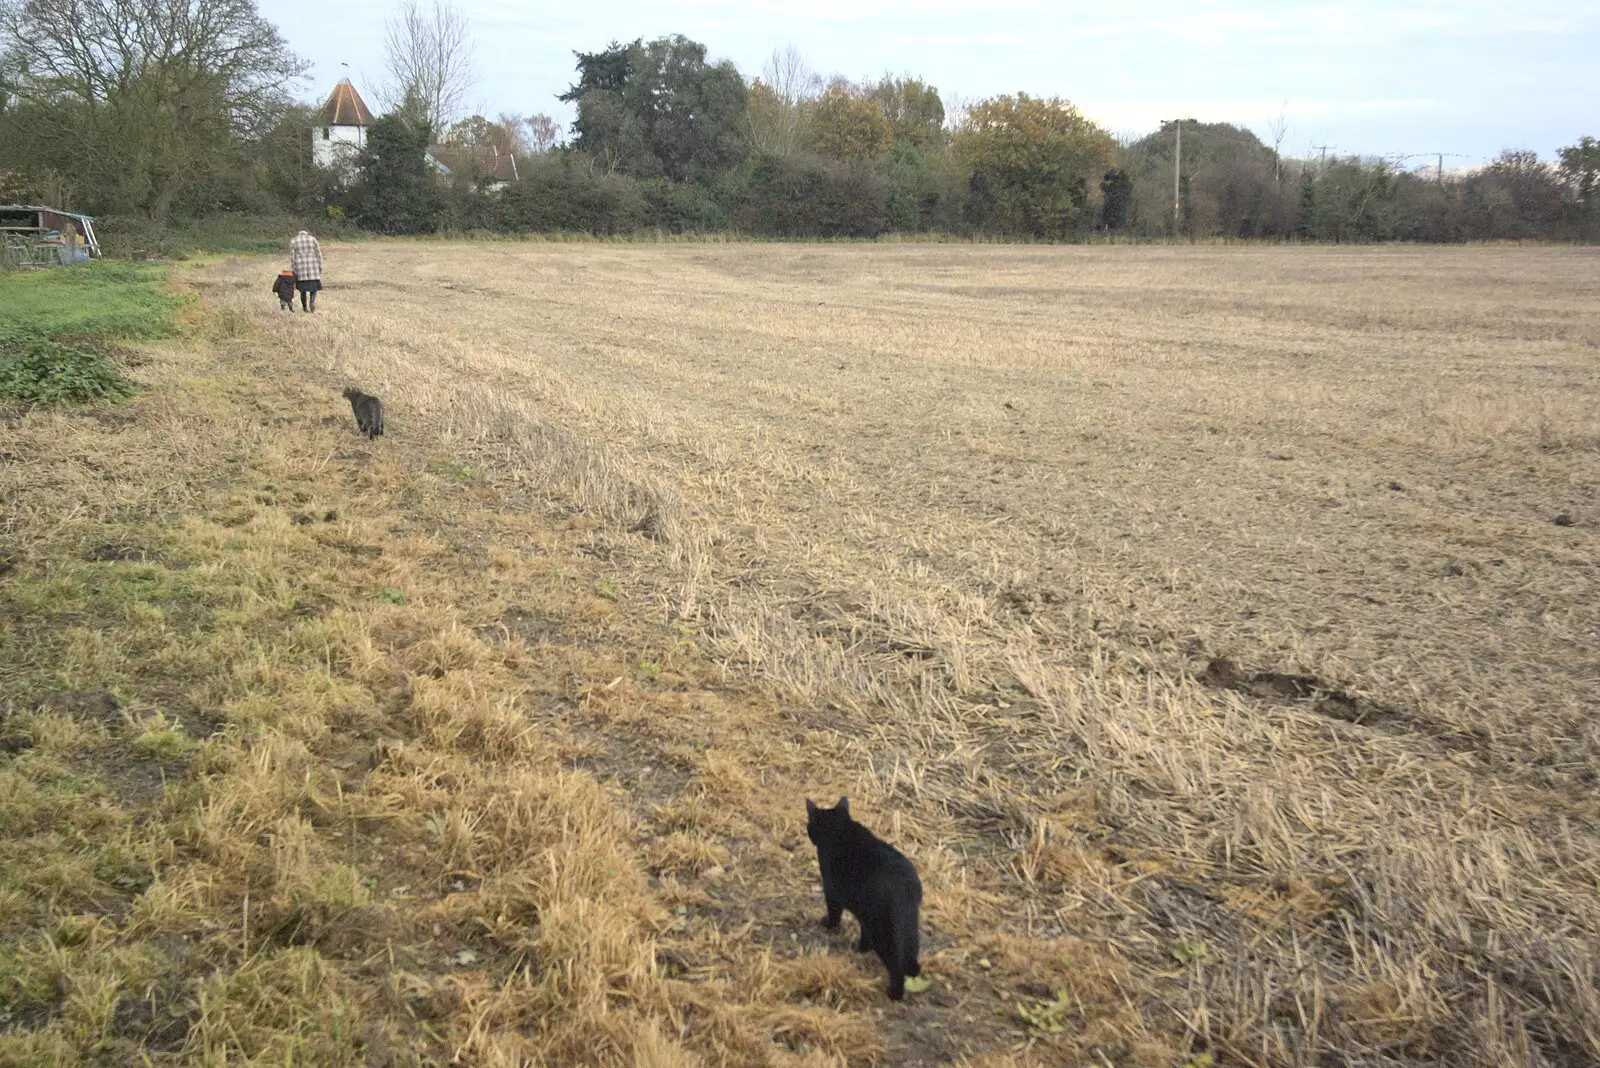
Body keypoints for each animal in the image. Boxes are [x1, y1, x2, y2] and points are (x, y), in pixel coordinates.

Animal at [806, 793, 921, 1004]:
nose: (809, 833)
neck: (840, 828)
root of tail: (906, 884)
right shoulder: (863, 914)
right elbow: (863, 933)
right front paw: (861, 948)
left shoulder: (831, 891)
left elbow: (834, 912)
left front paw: (828, 925)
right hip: (908, 923)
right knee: (911, 951)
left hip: (882, 928)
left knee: (895, 964)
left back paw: (895, 994)